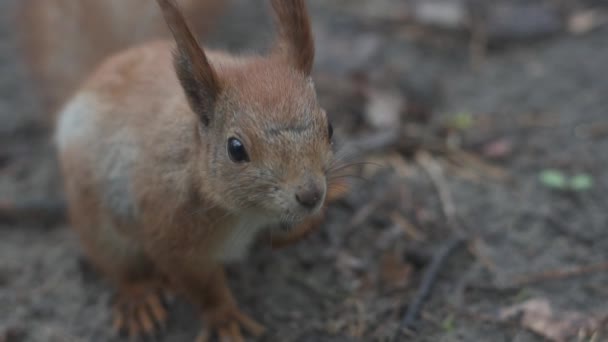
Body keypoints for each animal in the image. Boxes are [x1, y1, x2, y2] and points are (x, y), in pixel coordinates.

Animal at [54, 0, 350, 342]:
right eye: (236, 149)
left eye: (329, 126)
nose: (312, 194)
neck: (247, 214)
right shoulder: (171, 231)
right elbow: (200, 284)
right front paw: (223, 317)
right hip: (96, 221)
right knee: (117, 265)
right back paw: (140, 297)